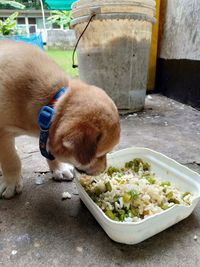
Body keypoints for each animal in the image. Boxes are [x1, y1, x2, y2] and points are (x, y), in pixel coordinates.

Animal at [0, 41, 120, 199]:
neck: (52, 102)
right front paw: (12, 182)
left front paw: (59, 168)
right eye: (100, 154)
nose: (105, 169)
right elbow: (11, 160)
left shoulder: (46, 134)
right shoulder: (3, 133)